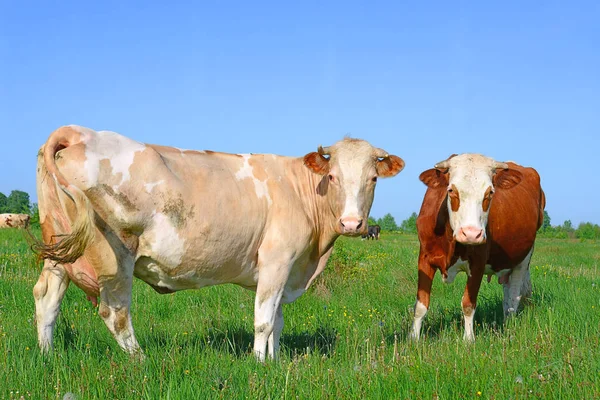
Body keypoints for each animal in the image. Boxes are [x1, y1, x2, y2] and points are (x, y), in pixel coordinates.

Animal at [34, 125, 408, 360]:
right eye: (332, 177)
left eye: (373, 179)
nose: (352, 223)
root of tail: (79, 132)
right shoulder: (277, 260)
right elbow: (263, 321)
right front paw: (260, 365)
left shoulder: (287, 270)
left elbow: (277, 321)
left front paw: (275, 361)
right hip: (114, 256)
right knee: (115, 312)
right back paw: (141, 360)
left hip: (60, 249)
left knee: (46, 298)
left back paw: (48, 356)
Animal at [412, 153, 544, 340]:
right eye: (451, 190)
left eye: (490, 192)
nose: (471, 233)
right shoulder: (424, 258)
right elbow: (421, 305)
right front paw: (413, 339)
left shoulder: (478, 263)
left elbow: (468, 304)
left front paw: (468, 340)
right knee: (507, 295)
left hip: (523, 259)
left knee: (513, 296)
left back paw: (509, 328)